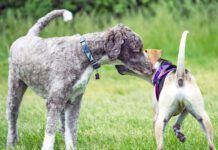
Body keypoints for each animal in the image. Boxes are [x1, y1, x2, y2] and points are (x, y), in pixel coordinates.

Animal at [6, 9, 153, 150]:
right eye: (137, 49)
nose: (151, 67)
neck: (83, 53)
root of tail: (28, 36)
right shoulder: (54, 101)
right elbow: (50, 133)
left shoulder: (74, 101)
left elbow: (71, 132)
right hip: (15, 87)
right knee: (12, 118)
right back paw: (12, 144)